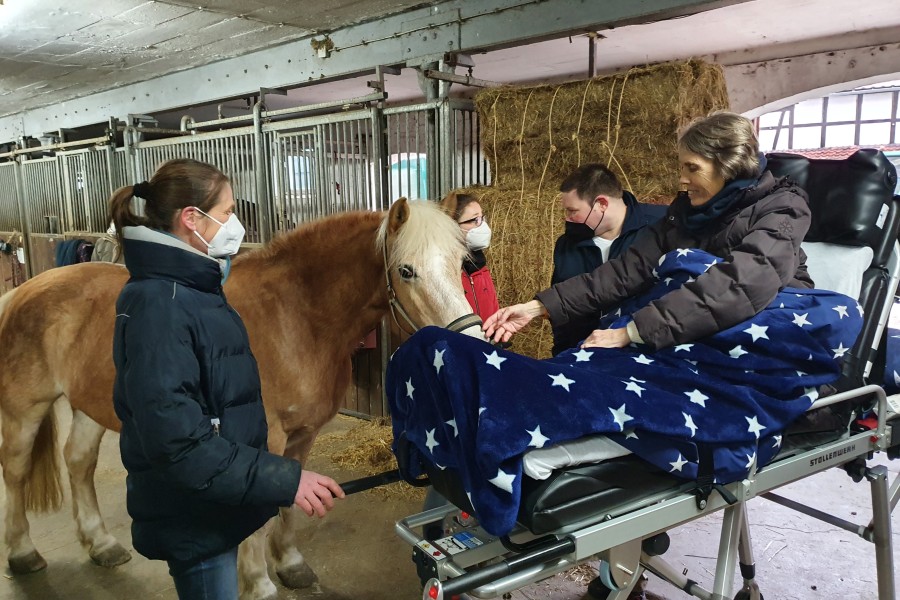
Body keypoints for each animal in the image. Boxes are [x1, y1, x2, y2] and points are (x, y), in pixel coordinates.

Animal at [0, 197, 486, 600]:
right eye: (406, 270)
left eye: (461, 263)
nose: (472, 344)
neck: (297, 316)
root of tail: (22, 291)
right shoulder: (262, 440)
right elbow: (259, 514)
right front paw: (260, 584)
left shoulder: (302, 435)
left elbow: (288, 503)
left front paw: (290, 565)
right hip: (25, 409)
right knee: (16, 472)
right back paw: (23, 553)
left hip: (87, 407)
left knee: (78, 462)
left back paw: (101, 544)